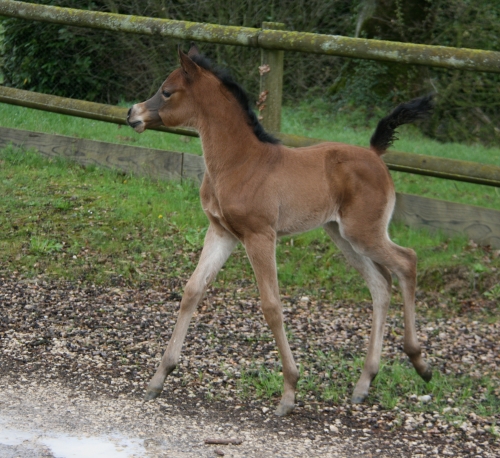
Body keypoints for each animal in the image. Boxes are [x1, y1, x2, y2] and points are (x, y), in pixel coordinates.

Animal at [127, 45, 432, 416]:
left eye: (167, 92)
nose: (132, 113)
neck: (239, 162)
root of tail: (375, 154)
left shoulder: (260, 236)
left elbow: (271, 306)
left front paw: (289, 392)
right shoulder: (222, 233)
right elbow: (192, 290)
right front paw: (159, 378)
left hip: (364, 232)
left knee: (407, 262)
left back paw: (419, 363)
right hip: (342, 235)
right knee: (381, 284)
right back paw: (364, 383)